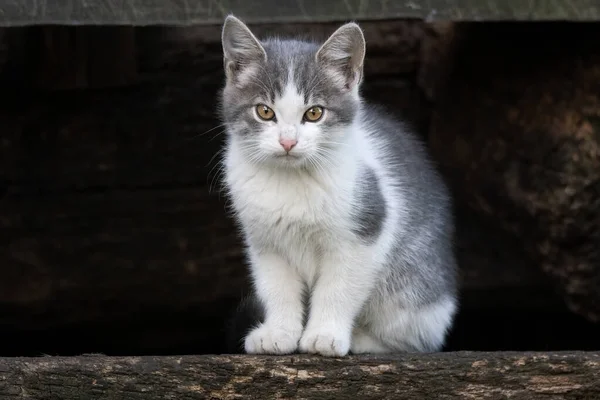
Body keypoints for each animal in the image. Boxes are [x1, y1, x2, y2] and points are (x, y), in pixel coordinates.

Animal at [220, 15, 460, 356]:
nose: (288, 141)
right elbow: (277, 287)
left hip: (414, 289)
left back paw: (363, 340)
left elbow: (339, 288)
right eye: (265, 111)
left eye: (314, 113)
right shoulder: (265, 241)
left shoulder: (364, 231)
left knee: (416, 338)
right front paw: (278, 332)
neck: (291, 181)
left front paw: (324, 335)